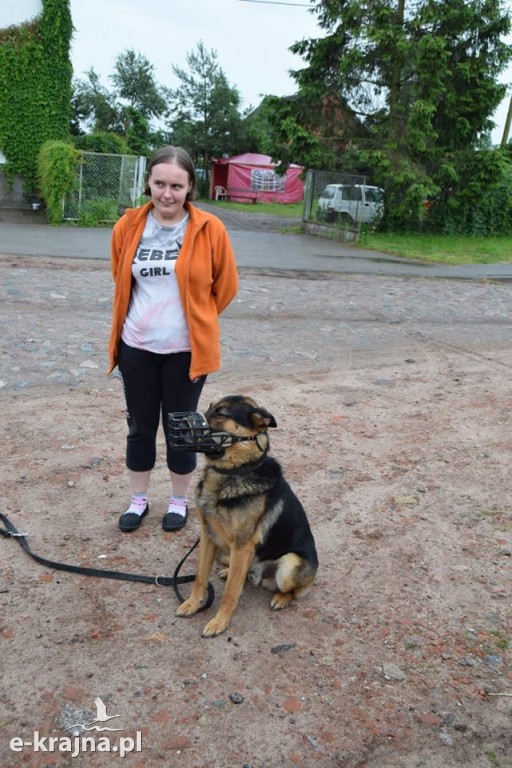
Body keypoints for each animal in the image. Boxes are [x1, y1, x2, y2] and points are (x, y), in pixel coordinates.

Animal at [177, 396, 320, 636]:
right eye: (209, 407)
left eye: (221, 413)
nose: (180, 423)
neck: (234, 472)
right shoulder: (208, 538)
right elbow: (200, 577)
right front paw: (192, 603)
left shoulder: (242, 546)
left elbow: (230, 592)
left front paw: (219, 622)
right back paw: (229, 572)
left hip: (289, 564)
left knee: (297, 590)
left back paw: (281, 598)